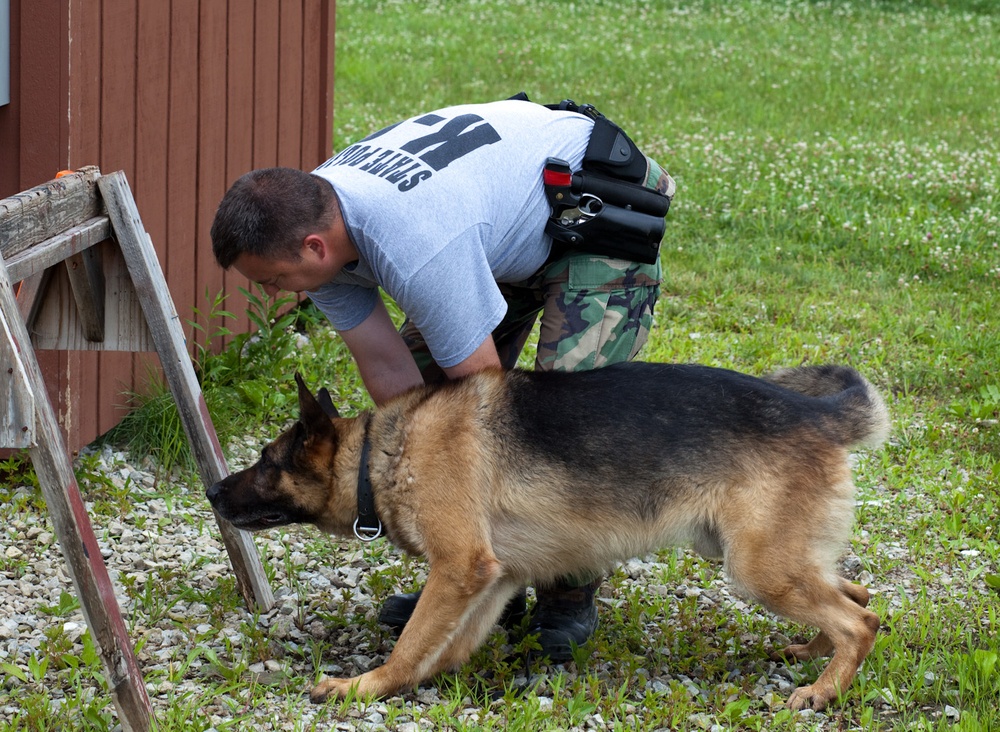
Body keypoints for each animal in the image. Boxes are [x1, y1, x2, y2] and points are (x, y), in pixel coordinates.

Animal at [207, 364, 888, 712]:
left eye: (265, 461)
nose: (211, 491)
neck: (383, 452)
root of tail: (818, 414)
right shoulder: (491, 578)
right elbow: (444, 645)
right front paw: (424, 680)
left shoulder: (458, 568)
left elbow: (411, 642)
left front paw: (366, 686)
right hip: (755, 557)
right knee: (857, 595)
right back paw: (812, 652)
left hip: (756, 568)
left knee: (860, 622)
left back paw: (822, 690)